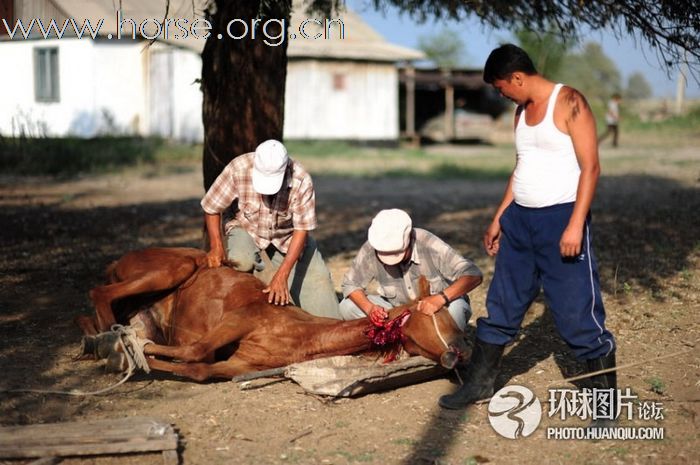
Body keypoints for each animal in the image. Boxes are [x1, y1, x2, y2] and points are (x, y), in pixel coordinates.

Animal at [76, 246, 468, 380]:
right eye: (425, 321)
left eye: (450, 321)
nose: (454, 355)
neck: (298, 334)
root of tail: (117, 261)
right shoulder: (239, 319)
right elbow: (194, 350)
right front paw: (128, 351)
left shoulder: (238, 365)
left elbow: (198, 368)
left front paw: (130, 355)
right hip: (176, 267)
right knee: (98, 292)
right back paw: (108, 338)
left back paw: (99, 341)